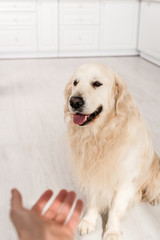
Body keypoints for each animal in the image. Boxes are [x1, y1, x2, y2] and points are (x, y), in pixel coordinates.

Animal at [63, 62, 160, 239]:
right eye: (75, 83)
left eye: (97, 83)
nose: (74, 102)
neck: (101, 135)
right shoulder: (93, 174)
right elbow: (93, 201)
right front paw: (88, 221)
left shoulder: (124, 180)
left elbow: (116, 208)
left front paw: (112, 231)